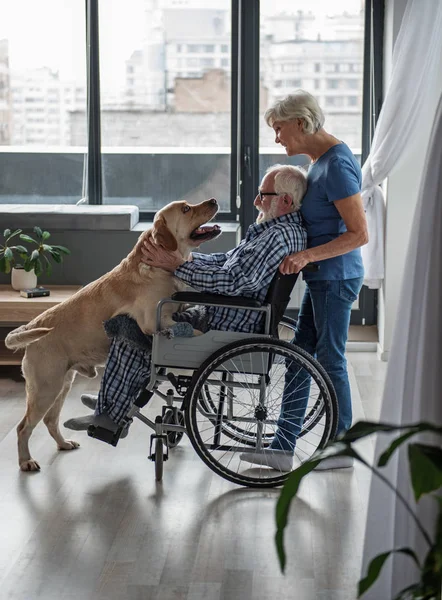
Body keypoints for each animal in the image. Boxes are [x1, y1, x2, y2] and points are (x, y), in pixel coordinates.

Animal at [5, 199, 221, 472]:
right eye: (186, 209)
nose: (213, 201)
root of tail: (31, 325)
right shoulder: (154, 322)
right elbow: (193, 329)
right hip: (46, 388)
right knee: (24, 427)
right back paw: (26, 461)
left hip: (61, 385)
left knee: (50, 421)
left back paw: (63, 444)